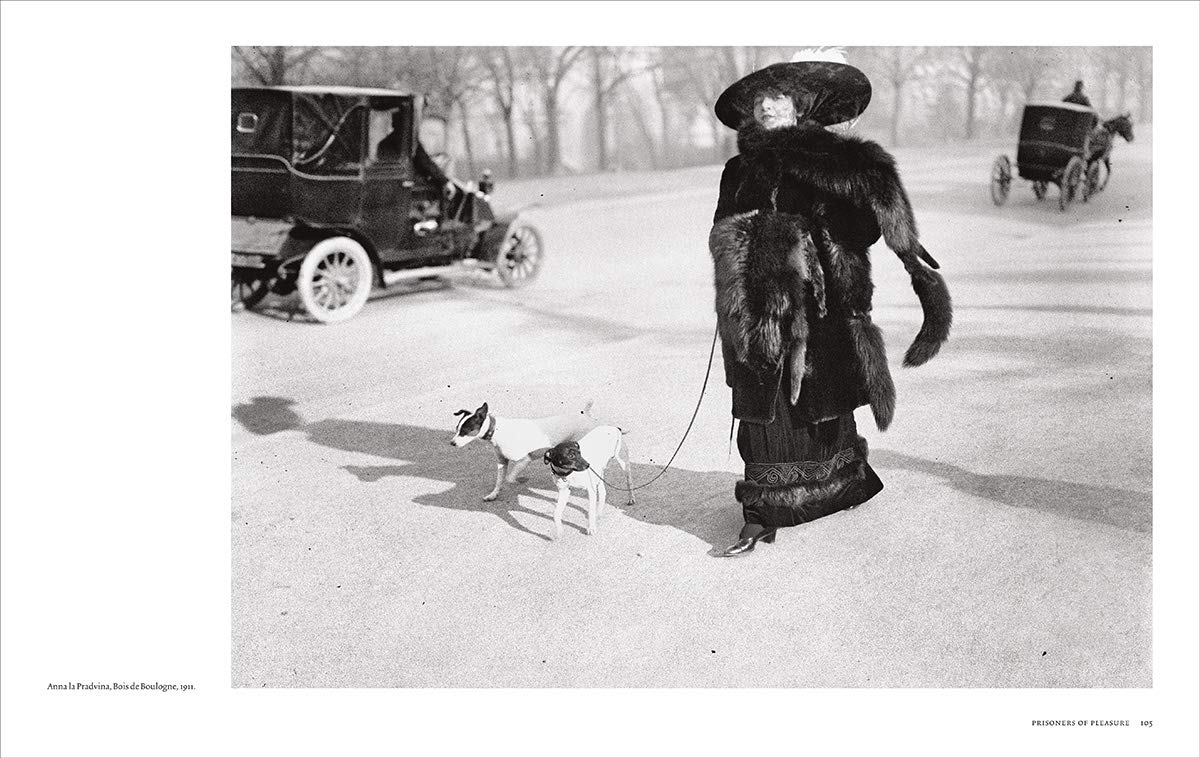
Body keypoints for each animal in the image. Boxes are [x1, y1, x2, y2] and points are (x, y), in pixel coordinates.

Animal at [451, 400, 597, 501]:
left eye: (464, 431)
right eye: (457, 429)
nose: (452, 443)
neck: (496, 430)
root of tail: (586, 414)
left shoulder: (524, 460)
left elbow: (510, 478)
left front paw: (520, 480)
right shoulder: (502, 463)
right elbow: (499, 481)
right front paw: (493, 495)